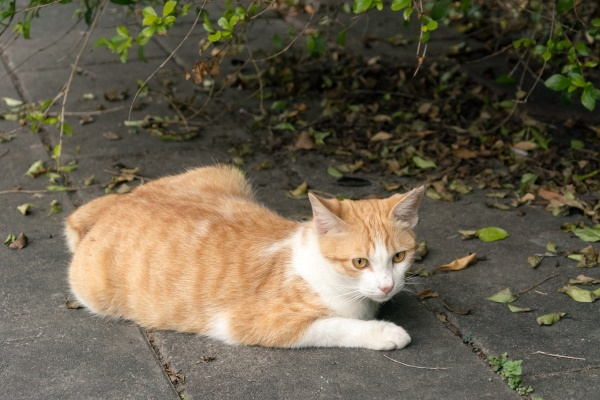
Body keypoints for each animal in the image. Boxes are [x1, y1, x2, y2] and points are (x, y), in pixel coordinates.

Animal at [65, 164, 424, 348]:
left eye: (398, 256)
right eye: (360, 262)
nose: (387, 286)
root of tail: (120, 200)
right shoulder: (251, 322)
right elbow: (335, 325)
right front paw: (385, 332)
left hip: (227, 171)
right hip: (94, 291)